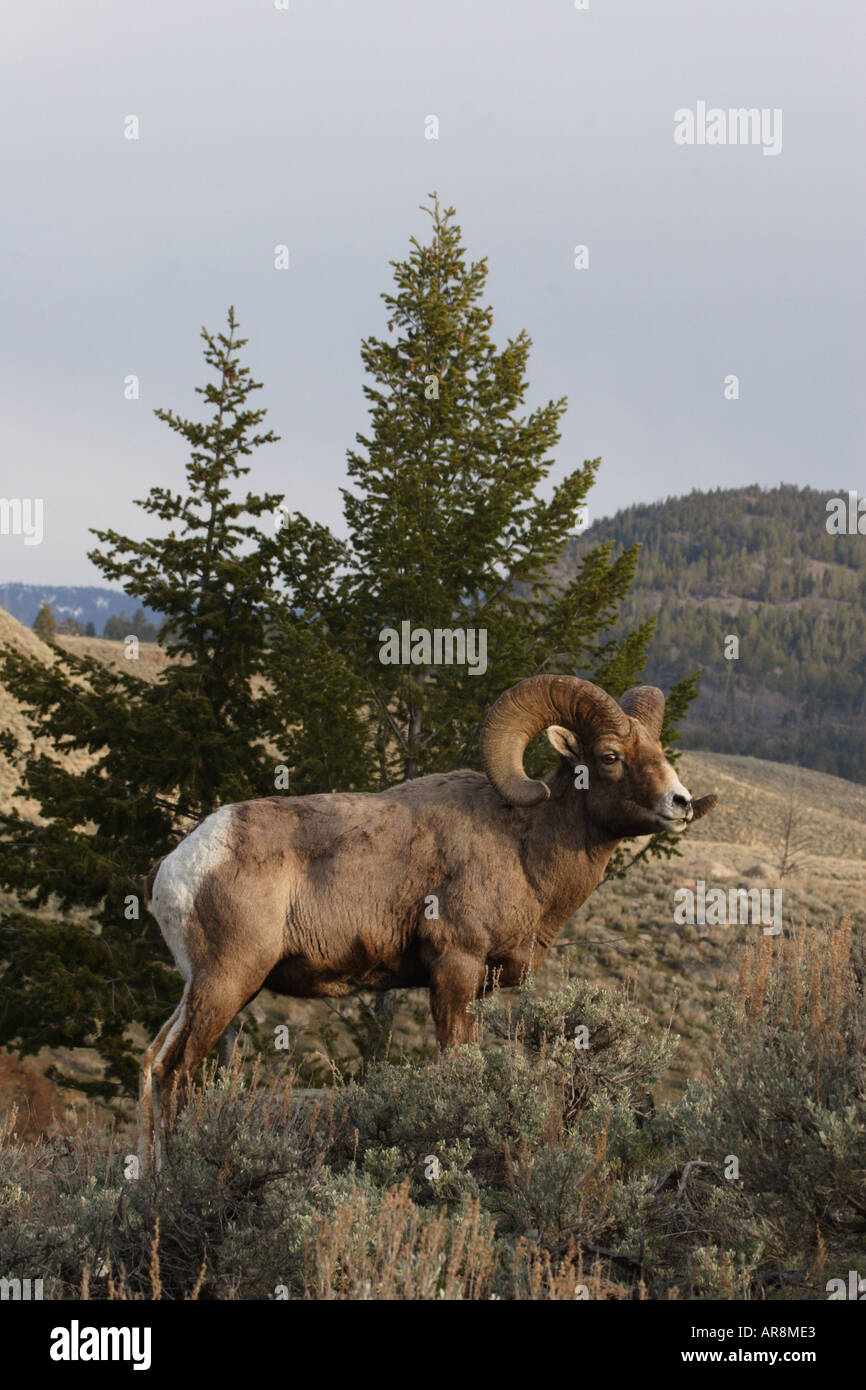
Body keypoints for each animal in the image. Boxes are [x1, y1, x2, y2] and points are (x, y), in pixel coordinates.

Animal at [139, 674, 716, 1166]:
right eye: (610, 756)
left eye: (658, 752)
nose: (681, 803)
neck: (524, 846)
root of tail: (181, 864)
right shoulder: (455, 969)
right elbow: (456, 1067)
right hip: (228, 980)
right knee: (176, 1073)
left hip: (200, 987)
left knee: (152, 1063)